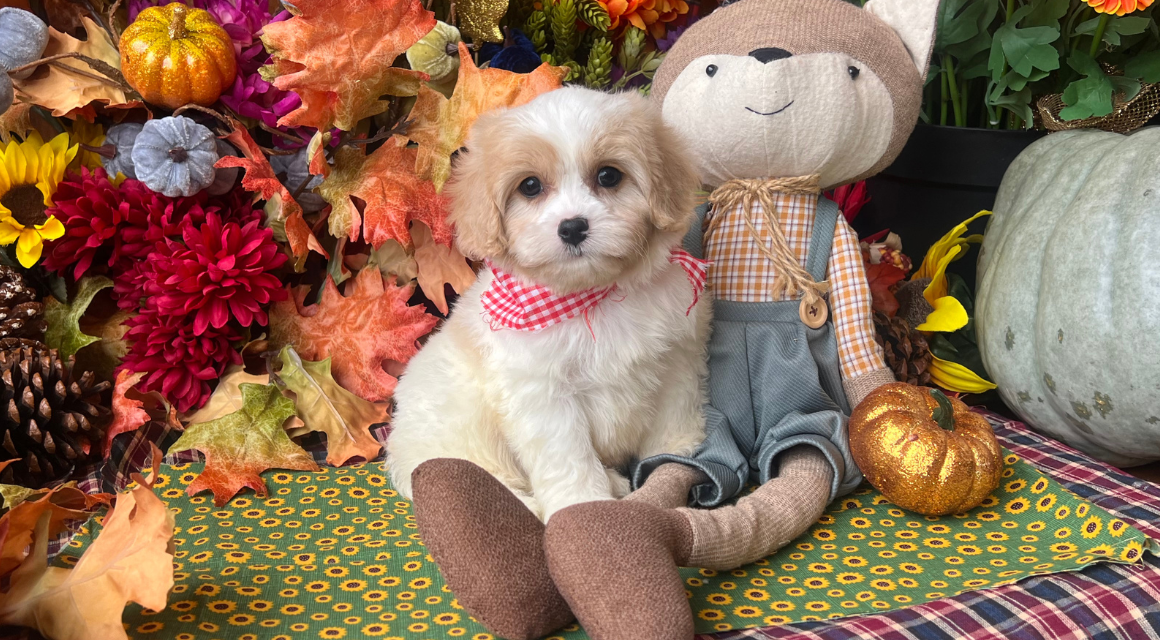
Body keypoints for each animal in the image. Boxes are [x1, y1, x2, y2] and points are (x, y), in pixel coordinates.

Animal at [387, 87, 705, 521]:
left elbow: (674, 412)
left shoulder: (678, 357)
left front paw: (676, 452)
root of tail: (398, 448)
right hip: (461, 433)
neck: (590, 296)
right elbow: (568, 457)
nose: (572, 227)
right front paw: (582, 503)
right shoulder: (541, 395)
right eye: (531, 186)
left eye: (608, 176)